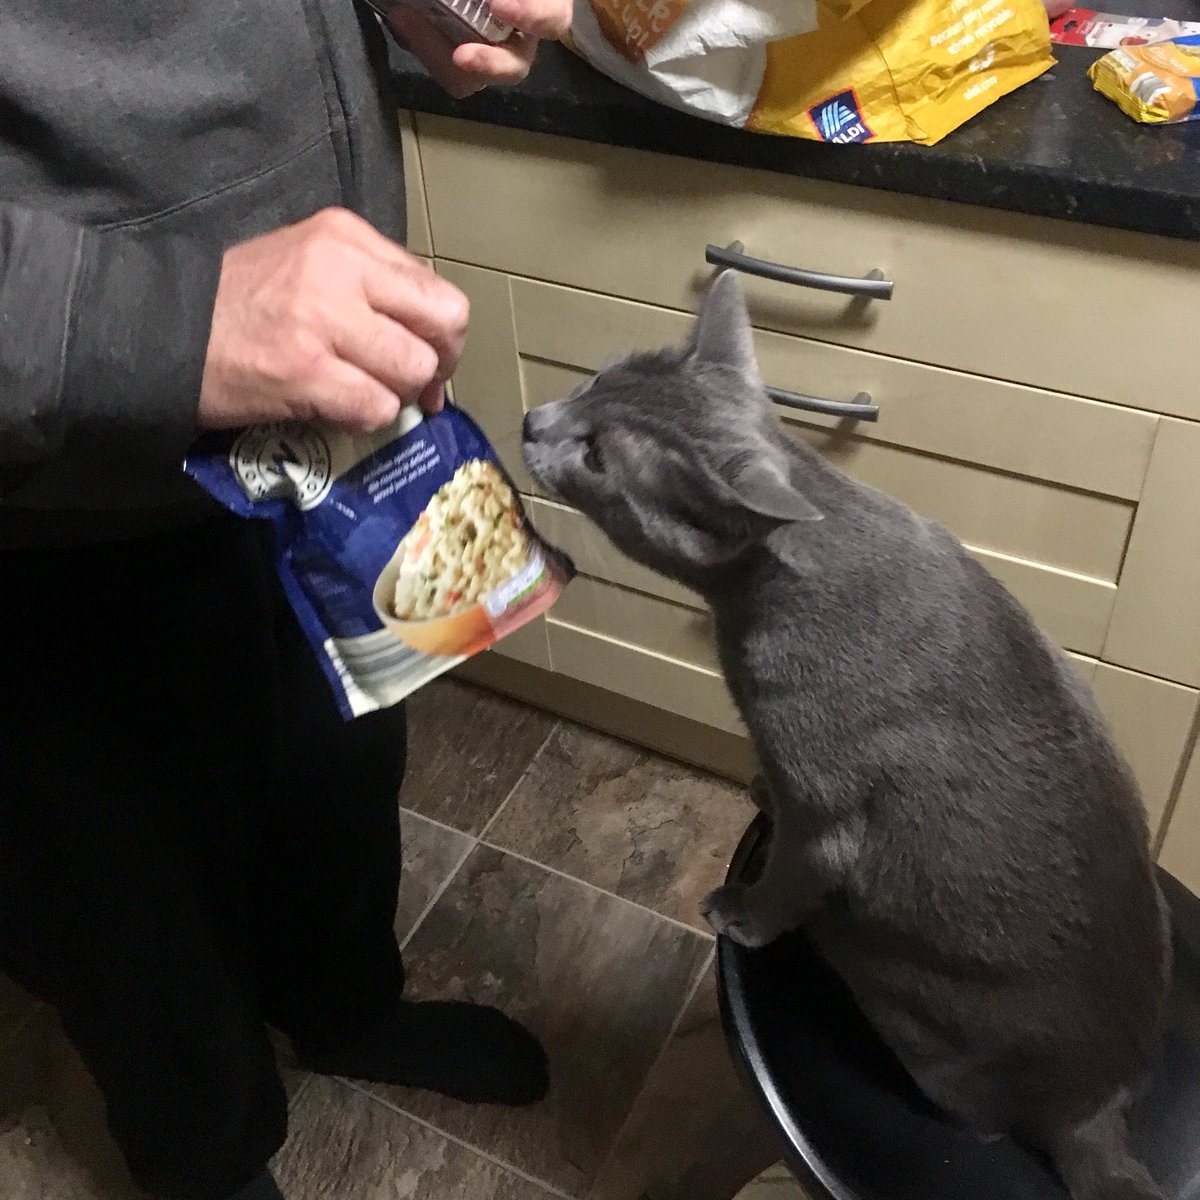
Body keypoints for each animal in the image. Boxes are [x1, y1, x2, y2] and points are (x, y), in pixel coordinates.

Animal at [520, 272, 1166, 1200]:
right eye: (596, 378)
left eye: (599, 457)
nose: (534, 421)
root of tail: (1097, 1108)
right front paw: (757, 785)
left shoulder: (828, 814)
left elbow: (790, 871)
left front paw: (739, 912)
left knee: (973, 1107)